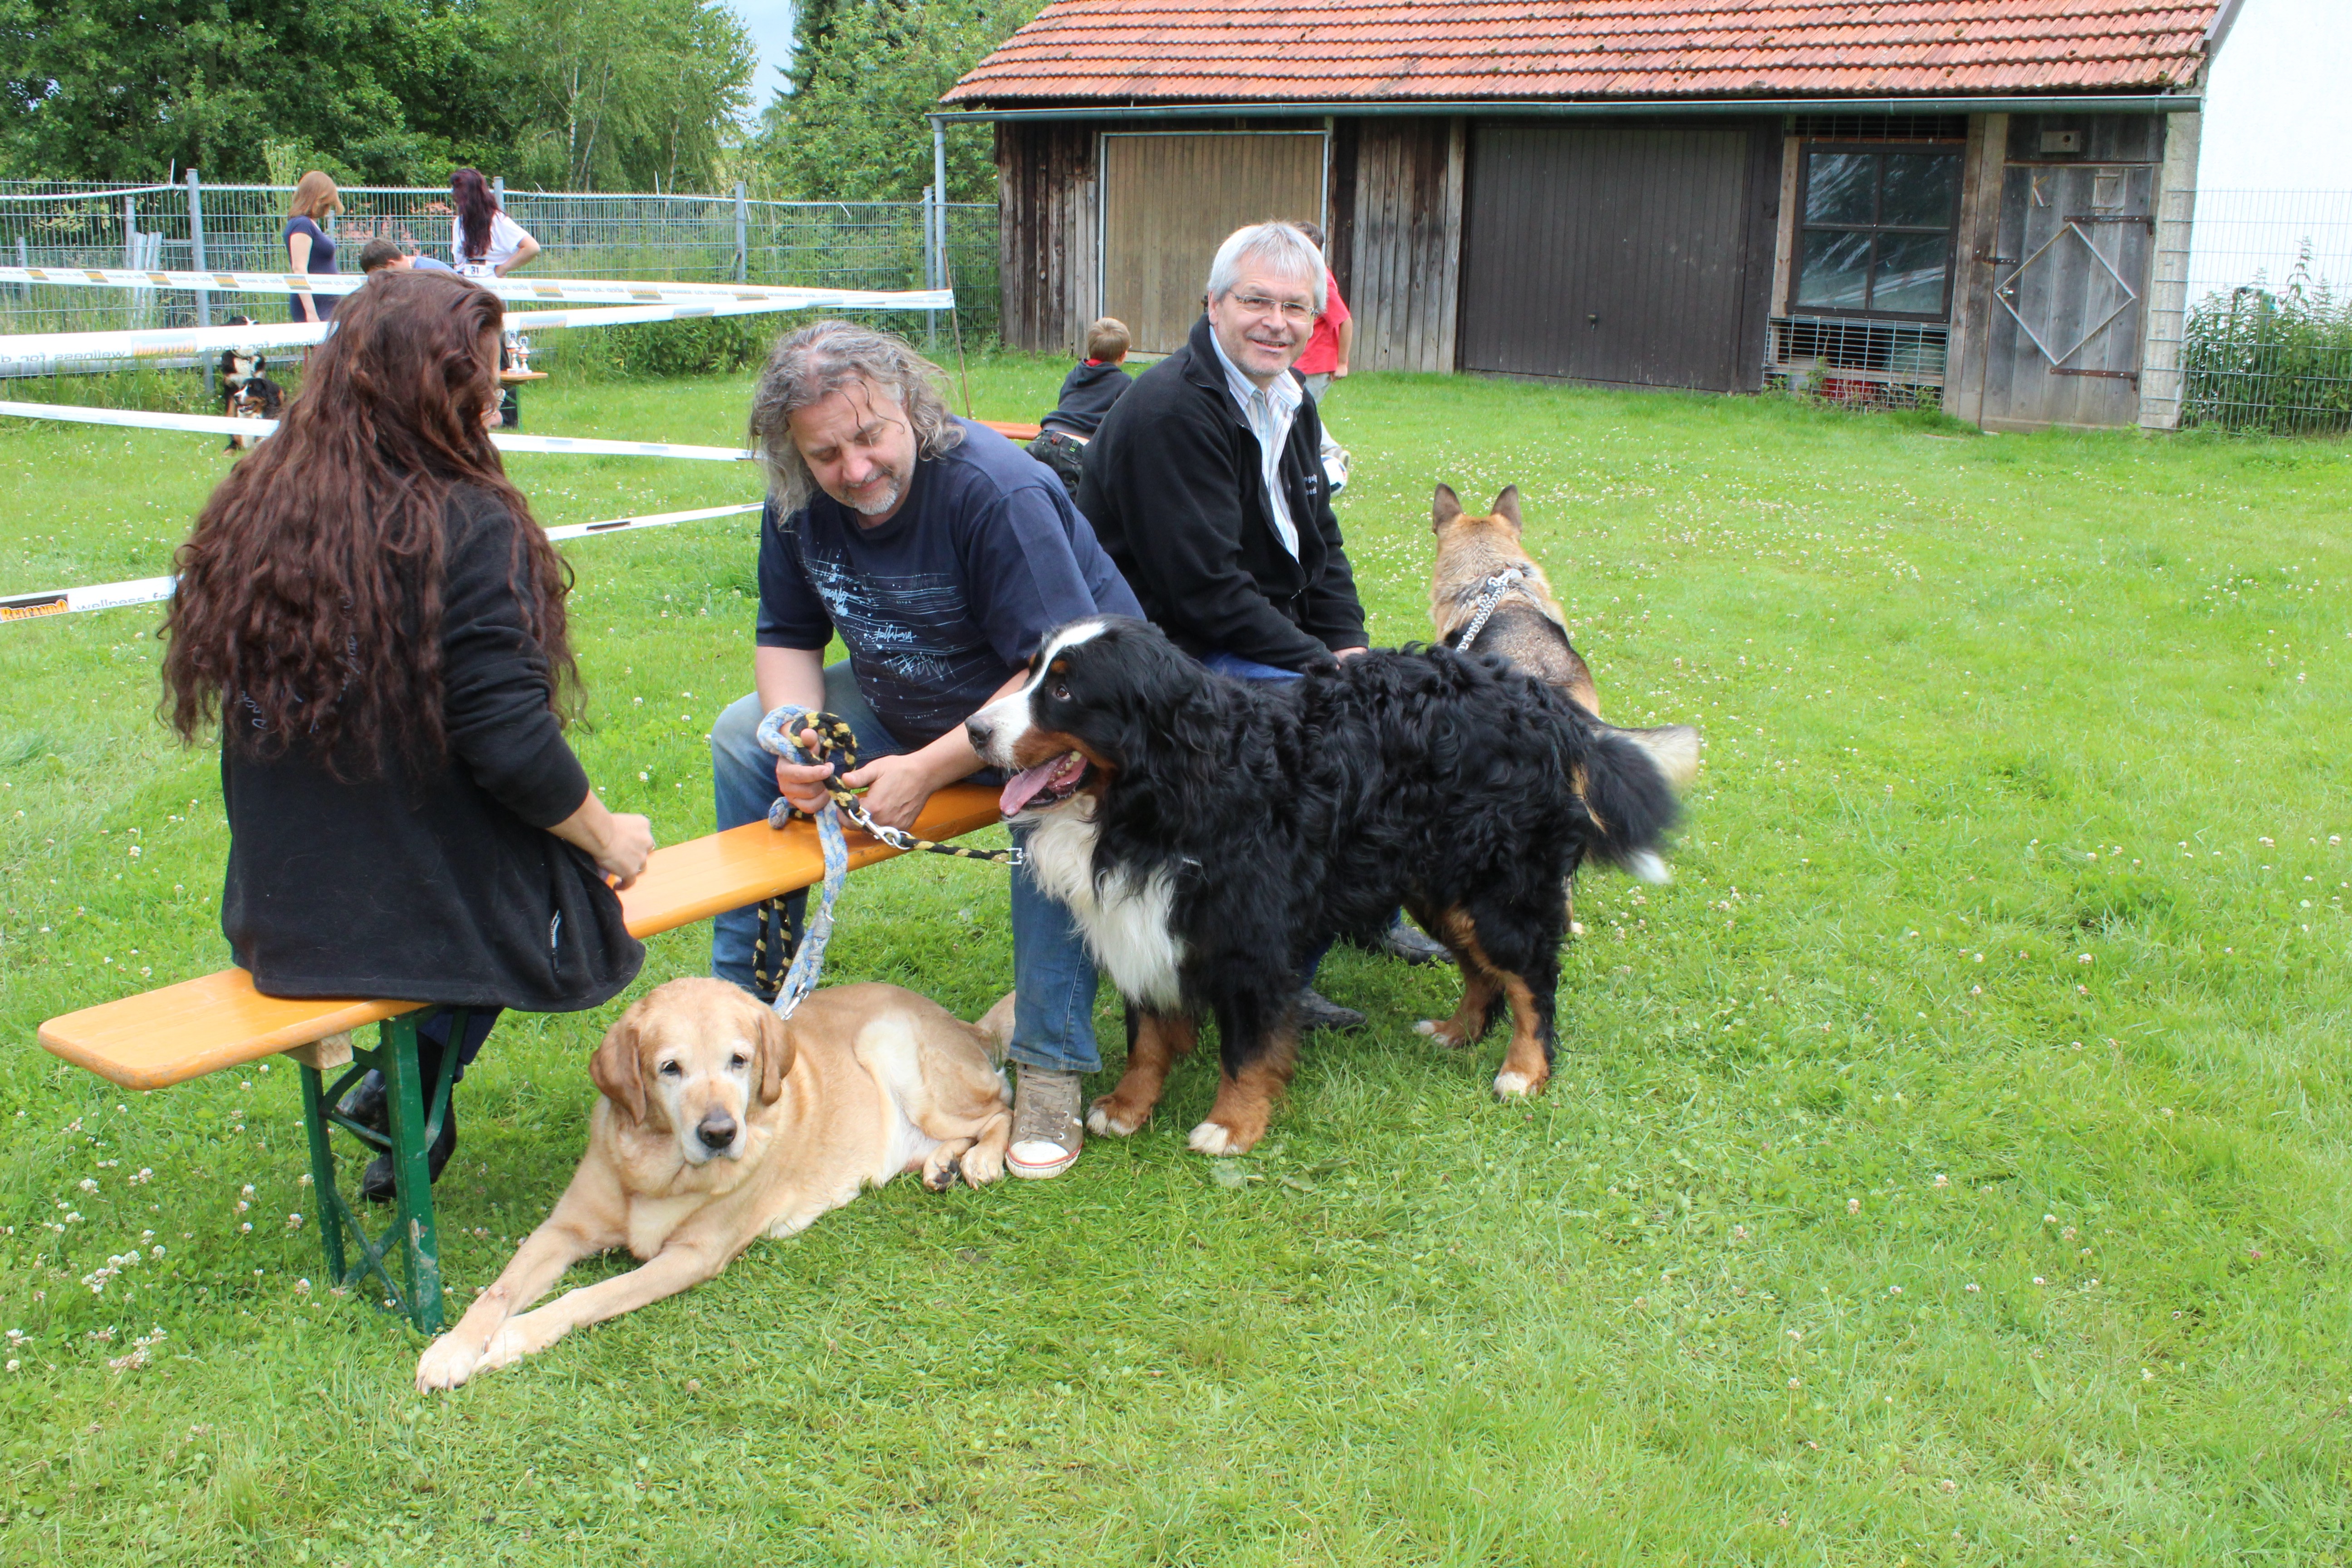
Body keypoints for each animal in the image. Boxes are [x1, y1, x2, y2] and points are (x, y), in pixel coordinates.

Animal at [969, 620, 1693, 1161]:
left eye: (1065, 691)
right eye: (1032, 671)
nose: (975, 730)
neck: (1162, 799)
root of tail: (1543, 701)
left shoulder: (1250, 939)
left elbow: (1247, 1050)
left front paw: (1231, 1126)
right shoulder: (1149, 921)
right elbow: (1147, 1035)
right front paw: (1126, 1107)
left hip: (1494, 885)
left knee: (1531, 979)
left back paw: (1523, 1071)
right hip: (1436, 883)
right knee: (1482, 972)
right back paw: (1456, 1032)